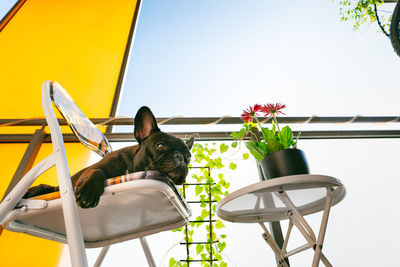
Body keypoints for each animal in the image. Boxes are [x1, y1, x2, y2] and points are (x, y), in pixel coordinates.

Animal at [24, 107, 195, 209]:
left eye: (188, 156)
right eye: (160, 146)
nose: (180, 157)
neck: (131, 167)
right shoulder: (94, 169)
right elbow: (97, 171)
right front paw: (89, 192)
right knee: (49, 187)